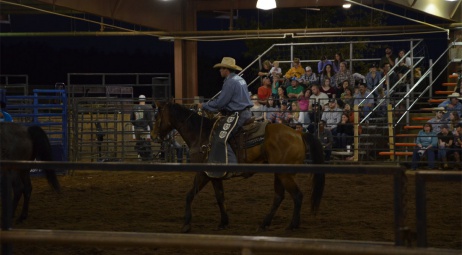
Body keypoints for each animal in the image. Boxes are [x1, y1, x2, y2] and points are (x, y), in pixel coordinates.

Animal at [152, 101, 324, 233]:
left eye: (157, 116)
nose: (153, 136)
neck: (200, 135)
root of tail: (299, 134)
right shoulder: (214, 175)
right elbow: (220, 197)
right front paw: (223, 222)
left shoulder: (203, 173)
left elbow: (189, 195)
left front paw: (186, 224)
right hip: (279, 173)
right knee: (279, 196)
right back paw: (265, 224)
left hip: (285, 174)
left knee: (297, 195)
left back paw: (292, 225)